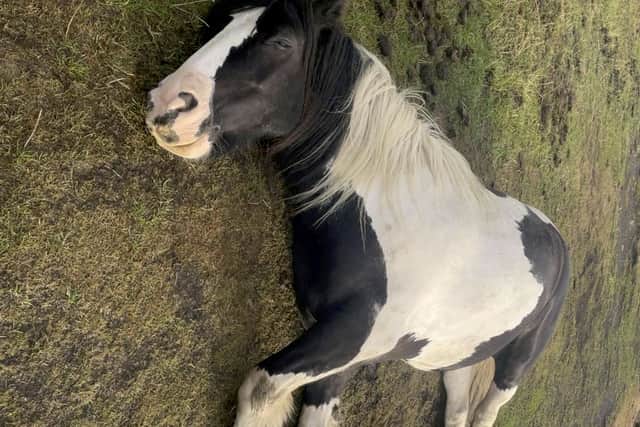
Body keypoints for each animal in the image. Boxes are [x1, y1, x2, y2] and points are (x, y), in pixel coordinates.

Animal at [145, 0, 570, 426]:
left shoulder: (348, 338)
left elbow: (259, 391)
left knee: (486, 409)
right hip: (457, 360)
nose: (168, 105)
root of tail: (556, 240)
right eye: (223, 19)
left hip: (515, 366)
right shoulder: (338, 352)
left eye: (281, 42)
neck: (385, 220)